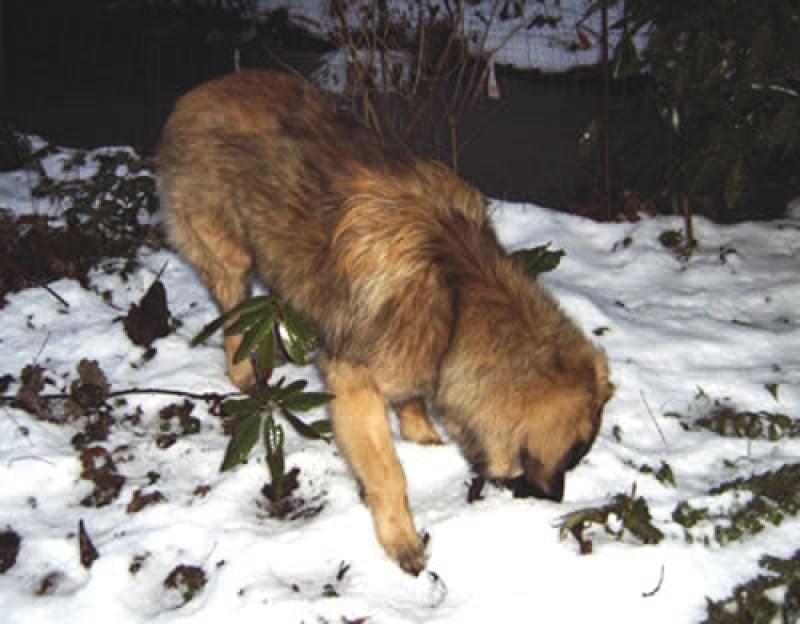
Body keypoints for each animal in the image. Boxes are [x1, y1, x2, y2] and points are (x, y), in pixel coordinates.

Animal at [159, 69, 616, 576]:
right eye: (573, 455)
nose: (554, 499)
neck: (458, 297)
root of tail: (200, 92)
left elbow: (412, 401)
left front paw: (422, 436)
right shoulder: (352, 383)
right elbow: (387, 472)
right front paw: (402, 540)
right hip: (230, 254)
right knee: (234, 314)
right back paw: (244, 373)